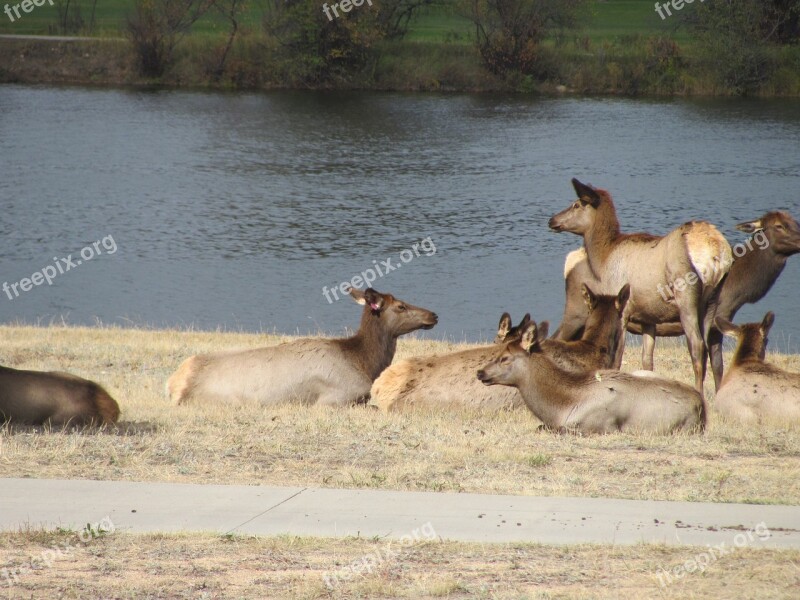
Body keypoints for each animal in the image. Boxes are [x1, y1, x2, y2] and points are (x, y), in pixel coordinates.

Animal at [552, 178, 732, 394]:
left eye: (577, 204)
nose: (552, 220)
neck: (603, 259)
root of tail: (717, 252)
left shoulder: (622, 308)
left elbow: (617, 358)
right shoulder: (648, 318)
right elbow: (647, 361)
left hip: (686, 296)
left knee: (697, 346)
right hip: (713, 299)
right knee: (710, 350)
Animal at [552, 211, 800, 390]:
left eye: (794, 222)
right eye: (779, 226)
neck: (741, 289)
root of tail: (569, 260)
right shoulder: (720, 319)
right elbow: (717, 364)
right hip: (576, 312)